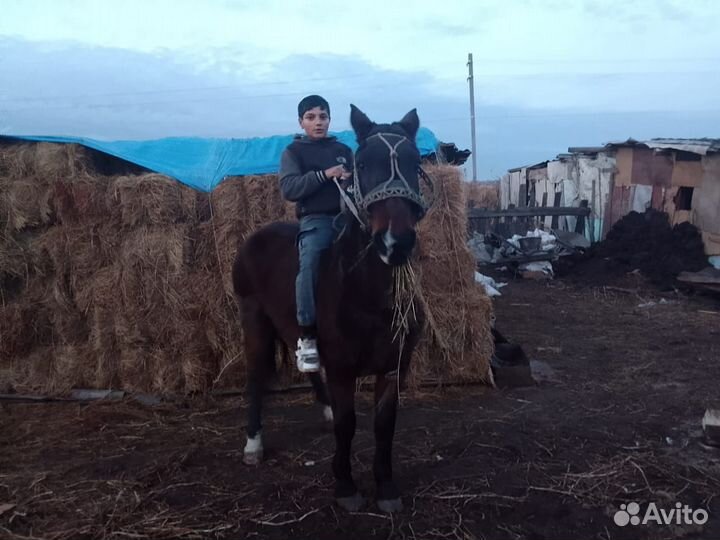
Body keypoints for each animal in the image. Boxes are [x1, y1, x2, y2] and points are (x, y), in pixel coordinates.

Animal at [231, 105, 428, 513]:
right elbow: (347, 424)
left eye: (415, 162)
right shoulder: (341, 369)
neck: (367, 292)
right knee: (256, 378)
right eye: (362, 164)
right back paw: (254, 445)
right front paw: (346, 485)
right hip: (254, 321)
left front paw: (386, 487)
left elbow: (384, 425)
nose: (395, 242)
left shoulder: (394, 366)